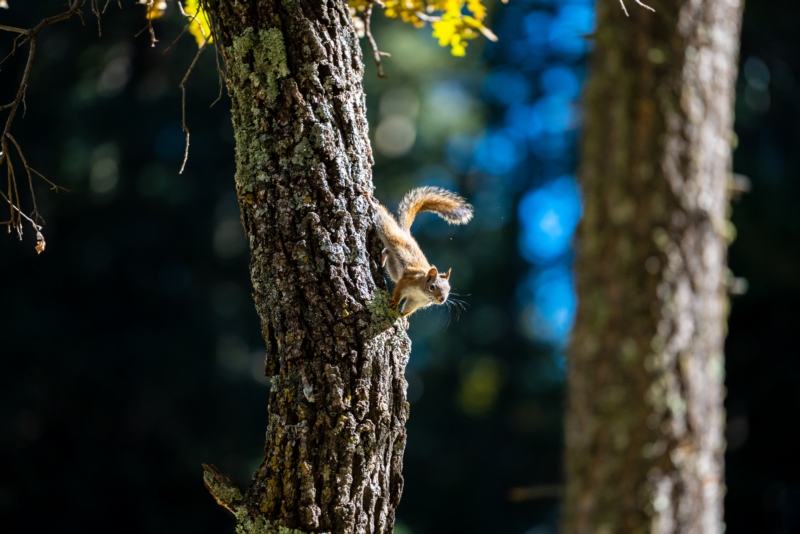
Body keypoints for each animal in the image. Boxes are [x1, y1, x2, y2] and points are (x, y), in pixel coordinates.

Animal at [368, 186, 472, 324]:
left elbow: (409, 308)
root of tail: (406, 233)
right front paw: (394, 303)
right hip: (392, 235)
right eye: (432, 287)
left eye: (449, 289)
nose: (442, 300)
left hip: (393, 268)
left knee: (388, 252)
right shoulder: (408, 281)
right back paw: (370, 201)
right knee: (384, 221)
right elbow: (398, 290)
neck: (422, 292)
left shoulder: (417, 301)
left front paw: (403, 318)